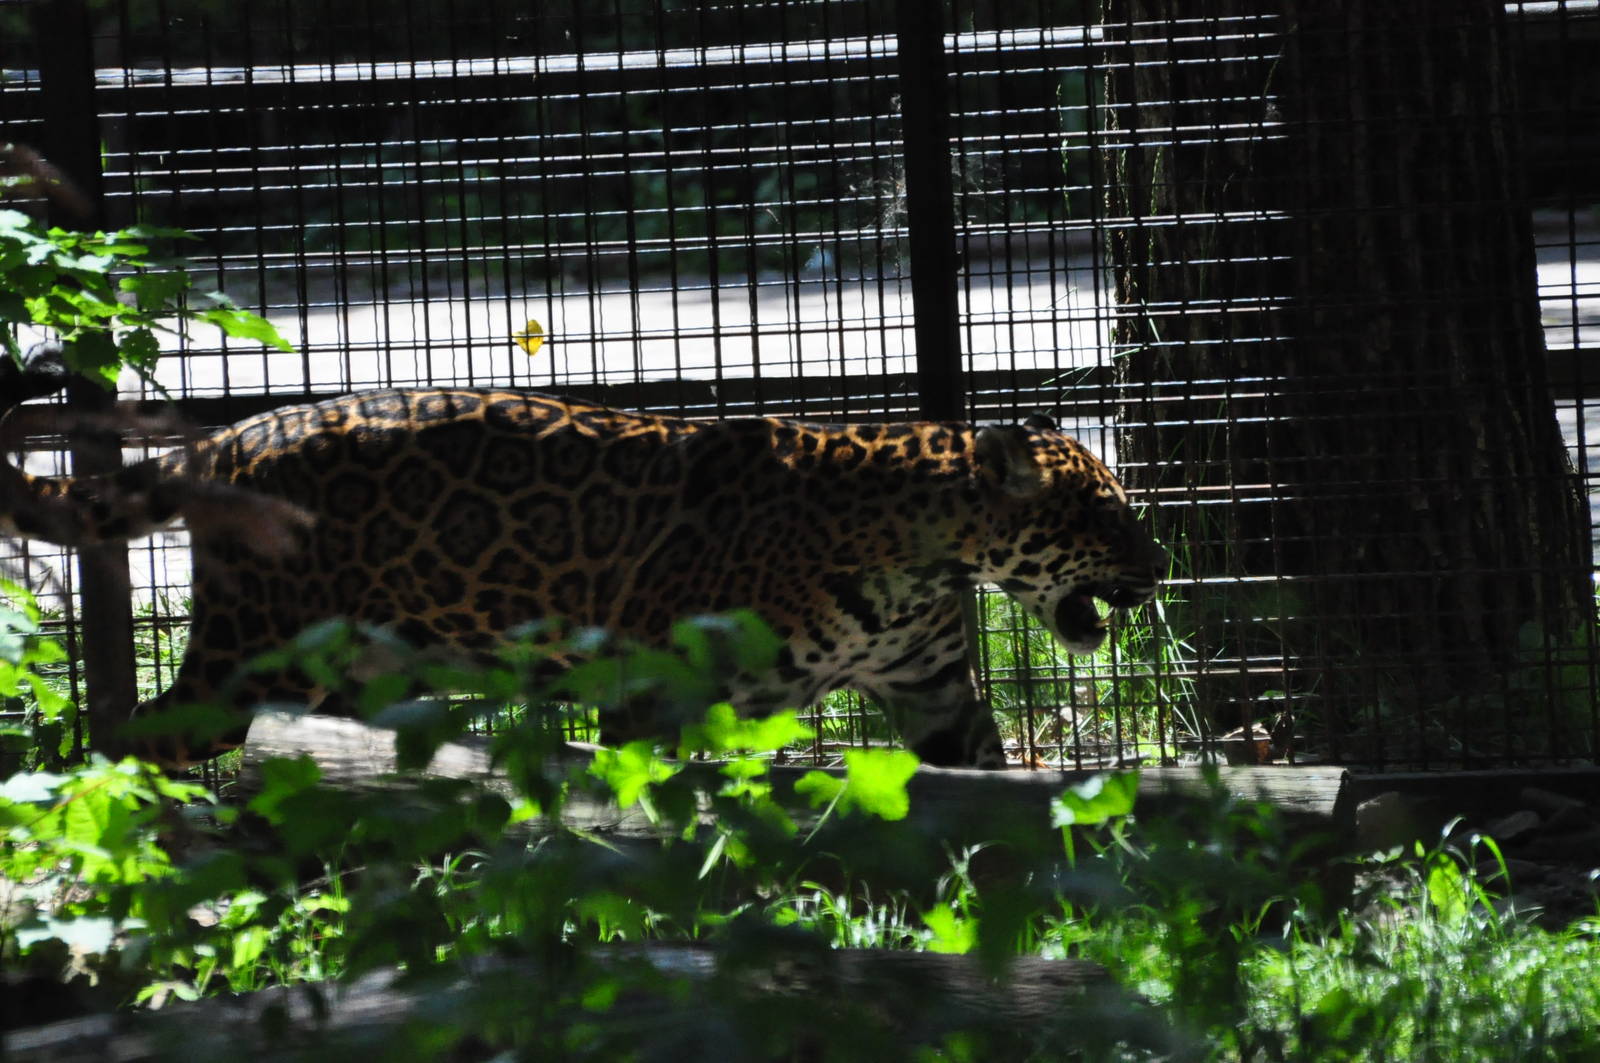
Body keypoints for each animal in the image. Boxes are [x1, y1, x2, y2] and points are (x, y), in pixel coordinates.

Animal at [1, 384, 1163, 768]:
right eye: (1104, 511)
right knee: (138, 733)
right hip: (256, 652)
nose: (1159, 568)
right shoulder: (658, 688)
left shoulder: (934, 693)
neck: (923, 553)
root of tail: (226, 436)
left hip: (348, 674)